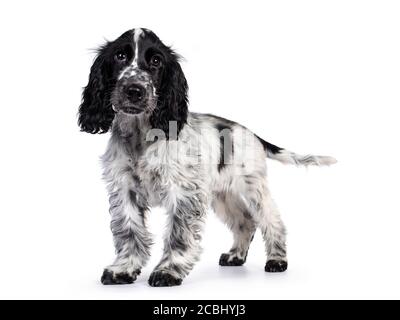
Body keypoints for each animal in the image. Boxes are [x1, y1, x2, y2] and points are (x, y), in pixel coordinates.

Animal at [77, 28, 334, 288]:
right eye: (120, 56)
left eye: (156, 61)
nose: (134, 90)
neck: (141, 135)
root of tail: (252, 134)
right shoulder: (124, 189)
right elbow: (129, 232)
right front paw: (123, 270)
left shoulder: (182, 193)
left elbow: (178, 234)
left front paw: (168, 271)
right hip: (223, 195)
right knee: (245, 222)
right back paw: (235, 256)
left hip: (253, 187)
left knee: (272, 221)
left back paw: (277, 260)